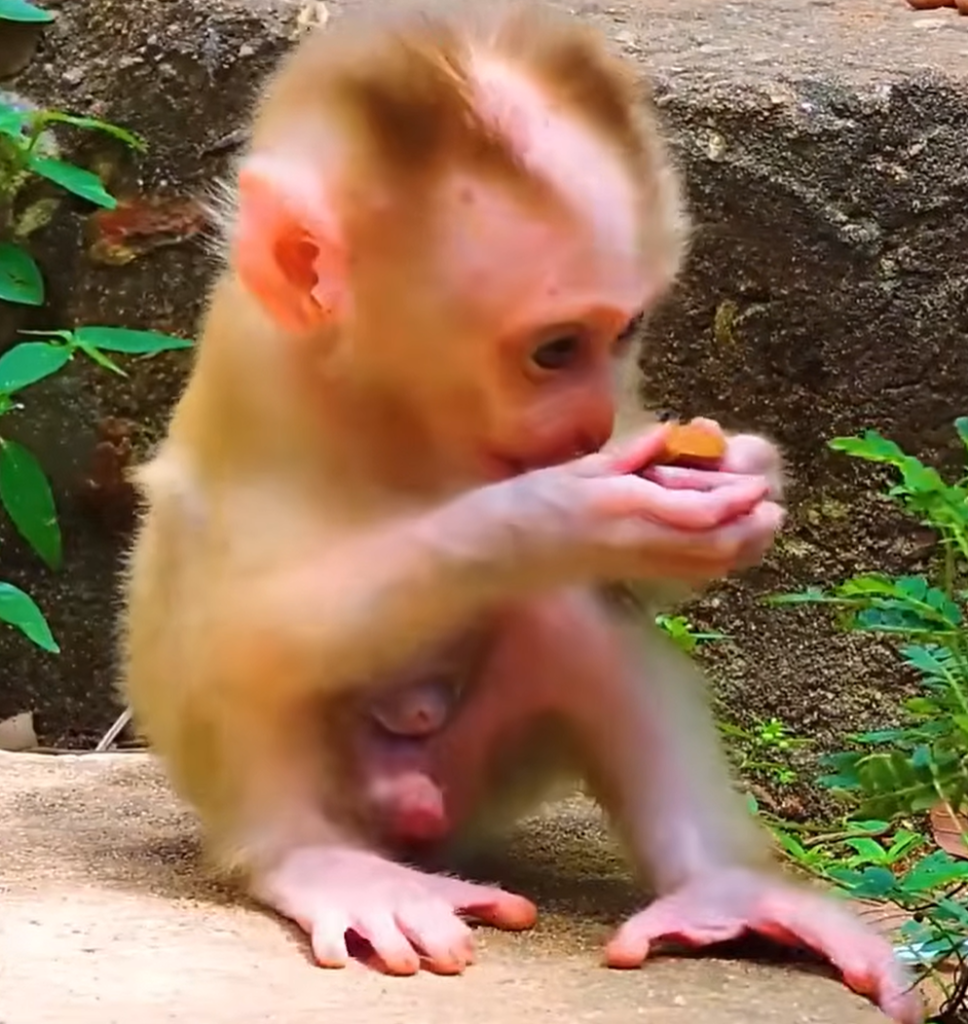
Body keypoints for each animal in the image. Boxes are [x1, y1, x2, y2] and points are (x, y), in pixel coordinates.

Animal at [118, 6, 922, 1023]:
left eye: (623, 334)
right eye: (553, 350)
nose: (585, 426)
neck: (397, 403)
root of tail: (414, 816)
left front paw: (745, 475)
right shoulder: (261, 387)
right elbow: (252, 619)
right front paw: (554, 515)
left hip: (483, 778)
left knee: (571, 616)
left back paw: (723, 890)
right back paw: (326, 865)